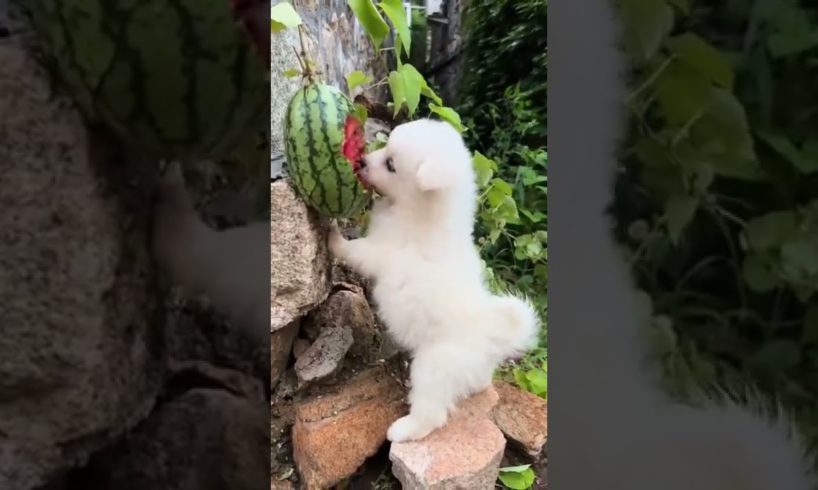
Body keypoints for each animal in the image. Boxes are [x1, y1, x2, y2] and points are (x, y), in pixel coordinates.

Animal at [326, 119, 540, 444]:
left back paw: (403, 430)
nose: (361, 162)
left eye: (391, 164)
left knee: (432, 413)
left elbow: (353, 250)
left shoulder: (379, 251)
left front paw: (333, 234)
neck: (422, 214)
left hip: (432, 368)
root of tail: (491, 336)